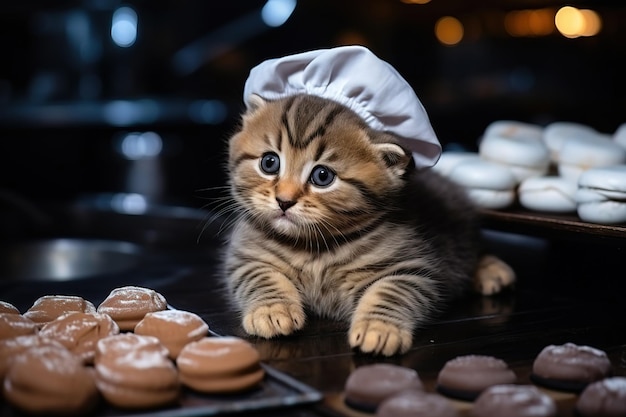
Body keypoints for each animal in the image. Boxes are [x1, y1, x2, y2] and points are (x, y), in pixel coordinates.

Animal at [219, 92, 512, 356]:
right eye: (269, 162)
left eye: (322, 176)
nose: (284, 200)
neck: (313, 247)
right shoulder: (246, 258)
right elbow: (261, 278)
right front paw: (271, 310)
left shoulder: (412, 268)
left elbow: (391, 292)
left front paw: (379, 328)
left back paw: (491, 270)